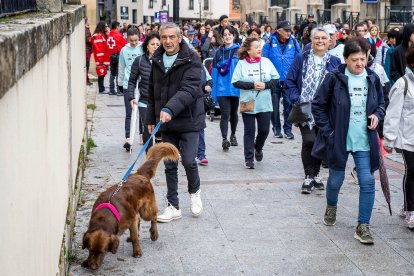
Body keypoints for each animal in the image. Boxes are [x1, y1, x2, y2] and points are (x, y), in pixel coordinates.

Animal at [81, 142, 179, 270]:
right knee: (139, 219)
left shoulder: (131, 220)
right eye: (90, 250)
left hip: (146, 211)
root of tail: (139, 174)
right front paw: (86, 261)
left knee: (153, 217)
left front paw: (137, 251)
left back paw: (154, 233)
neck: (105, 217)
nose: (92, 267)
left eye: (103, 252)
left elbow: (135, 237)